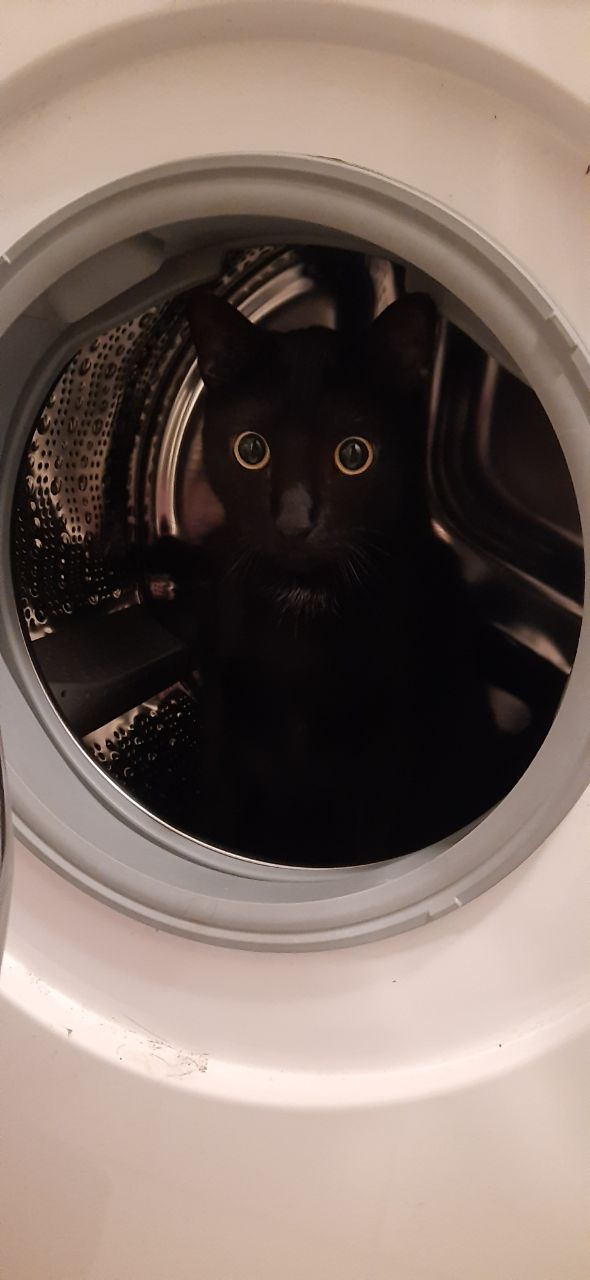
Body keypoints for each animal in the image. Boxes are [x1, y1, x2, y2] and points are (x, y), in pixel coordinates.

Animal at [150, 288, 519, 870]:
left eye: (353, 455)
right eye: (250, 449)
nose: (294, 521)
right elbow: (223, 813)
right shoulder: (225, 716)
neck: (305, 600)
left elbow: (364, 841)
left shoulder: (387, 746)